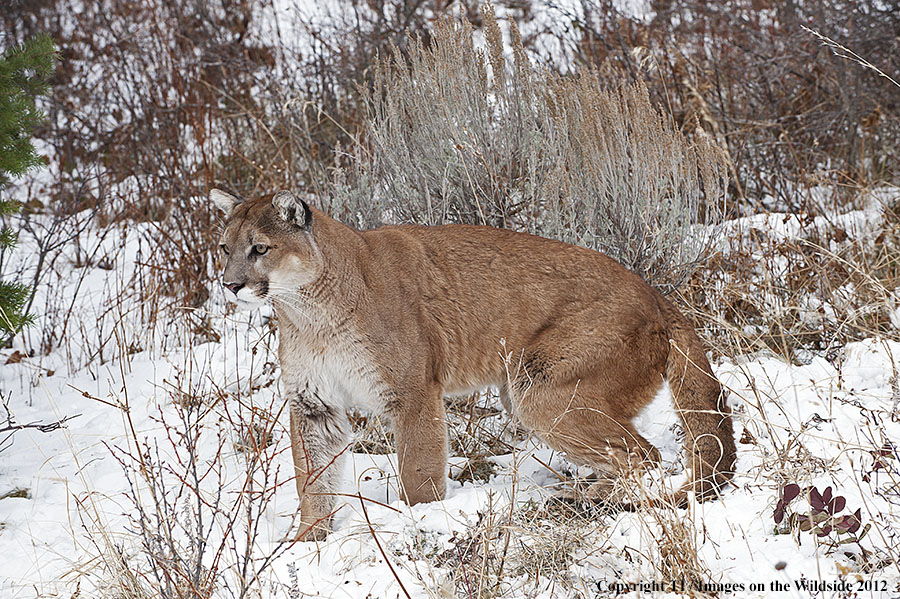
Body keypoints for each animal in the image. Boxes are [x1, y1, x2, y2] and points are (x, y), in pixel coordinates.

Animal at [213, 190, 740, 540]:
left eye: (260, 248)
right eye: (224, 248)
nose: (230, 284)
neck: (309, 310)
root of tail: (657, 295)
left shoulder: (412, 393)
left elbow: (418, 470)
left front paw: (420, 519)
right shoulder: (312, 404)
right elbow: (314, 479)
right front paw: (308, 542)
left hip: (541, 390)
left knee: (644, 456)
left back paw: (590, 501)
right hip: (525, 387)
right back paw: (580, 496)